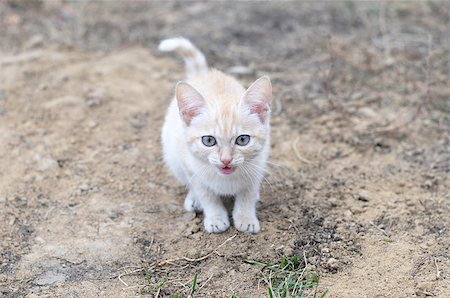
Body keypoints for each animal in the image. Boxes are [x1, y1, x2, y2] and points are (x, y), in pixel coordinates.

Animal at [159, 36, 270, 233]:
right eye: (209, 140)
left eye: (243, 140)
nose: (226, 160)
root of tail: (205, 74)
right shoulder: (190, 167)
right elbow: (207, 195)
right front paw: (216, 218)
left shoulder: (259, 164)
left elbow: (247, 194)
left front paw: (246, 217)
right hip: (172, 155)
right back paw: (194, 200)